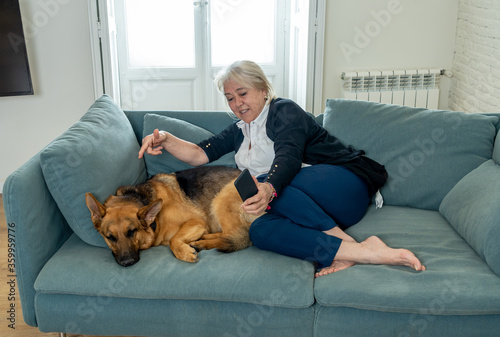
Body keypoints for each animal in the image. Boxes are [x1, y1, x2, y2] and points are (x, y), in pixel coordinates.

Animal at [85, 165, 258, 266]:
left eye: (132, 232)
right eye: (110, 237)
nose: (127, 262)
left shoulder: (197, 222)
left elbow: (174, 240)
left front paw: (185, 253)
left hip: (221, 198)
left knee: (236, 235)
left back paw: (202, 243)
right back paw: (202, 241)